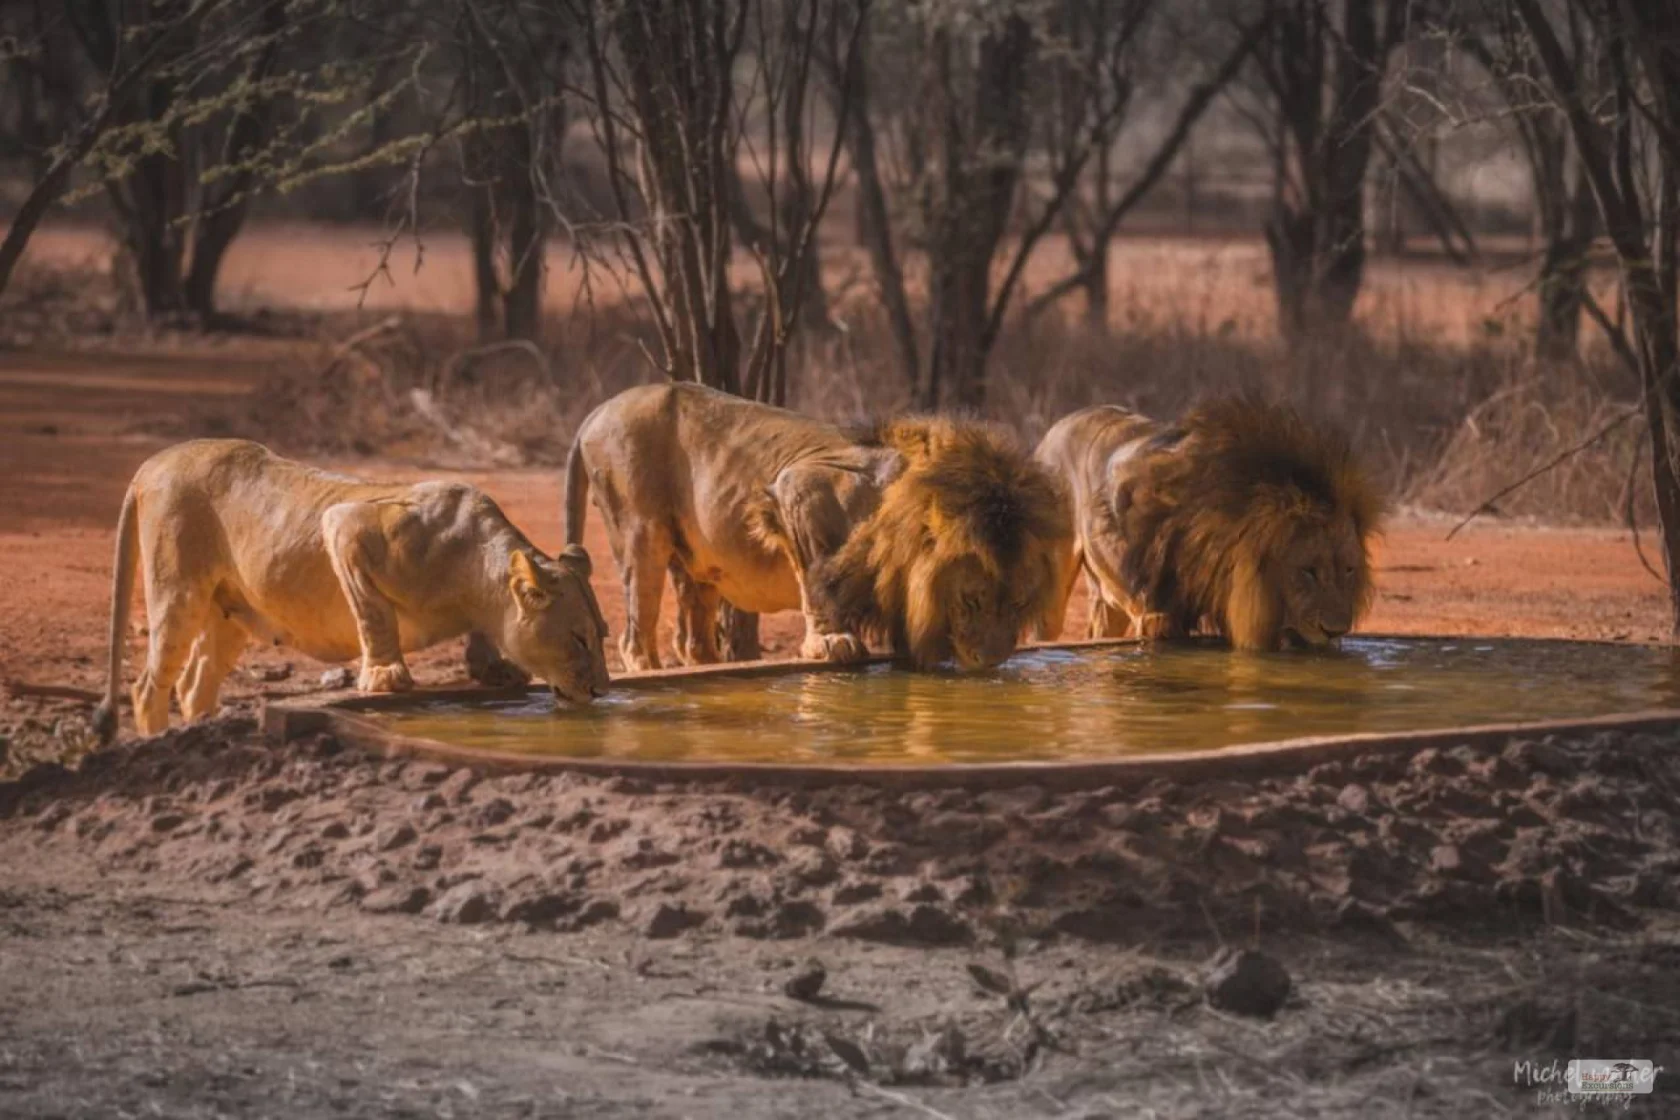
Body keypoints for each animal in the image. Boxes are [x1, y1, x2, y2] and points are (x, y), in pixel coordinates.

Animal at [93, 439, 610, 743]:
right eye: (578, 638)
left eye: (602, 635)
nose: (603, 691)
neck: (472, 577)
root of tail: (153, 462)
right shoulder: (346, 526)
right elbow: (373, 612)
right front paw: (385, 676)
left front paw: (495, 668)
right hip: (177, 592)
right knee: (147, 687)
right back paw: (156, 743)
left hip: (230, 613)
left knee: (193, 686)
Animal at [565, 383, 1072, 671]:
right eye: (972, 599)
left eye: (1018, 602)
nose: (992, 660)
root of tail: (593, 414)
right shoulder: (801, 487)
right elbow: (814, 579)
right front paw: (829, 643)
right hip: (639, 534)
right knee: (634, 634)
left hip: (694, 561)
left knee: (691, 632)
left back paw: (705, 666)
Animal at [1033, 397, 1383, 650]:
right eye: (1307, 571)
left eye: (1349, 570)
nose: (1336, 631)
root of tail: (1061, 423)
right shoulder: (1157, 619)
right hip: (1054, 598)